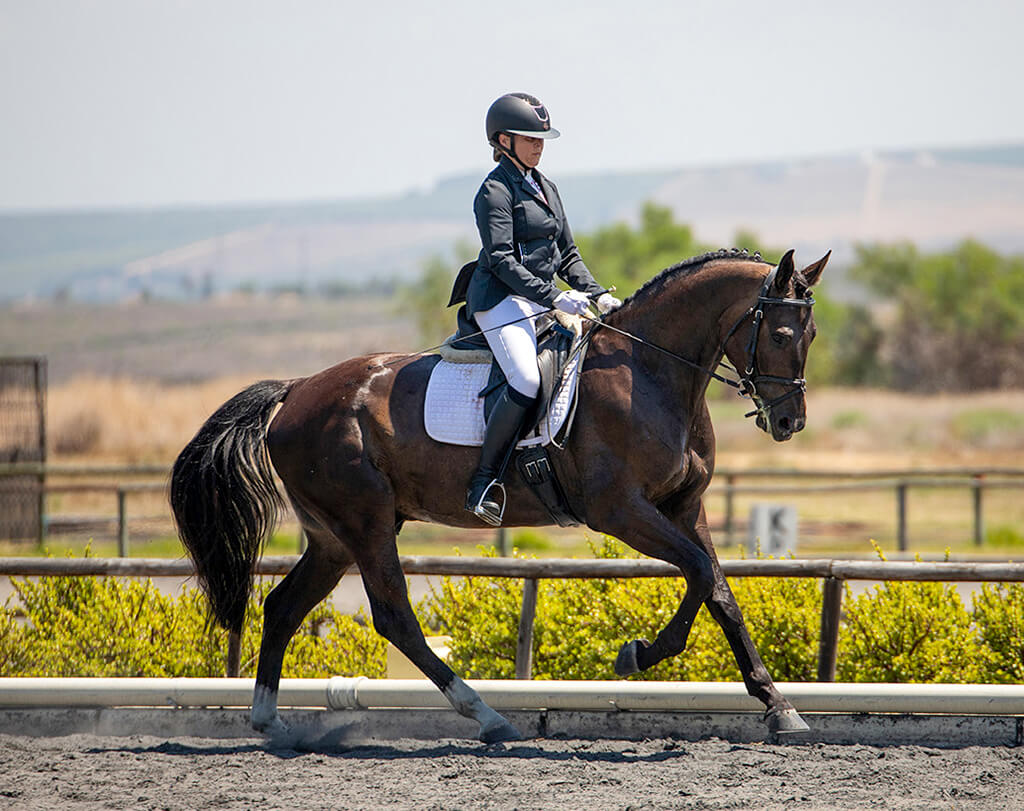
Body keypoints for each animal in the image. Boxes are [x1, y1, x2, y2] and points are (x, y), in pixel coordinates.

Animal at [170, 247, 829, 743]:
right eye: (781, 332)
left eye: (813, 333)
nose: (789, 422)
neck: (649, 369)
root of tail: (297, 389)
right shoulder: (620, 511)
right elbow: (695, 571)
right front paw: (638, 654)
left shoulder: (684, 508)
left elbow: (718, 590)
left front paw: (780, 708)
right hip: (365, 522)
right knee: (393, 616)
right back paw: (487, 716)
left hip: (333, 536)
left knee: (283, 606)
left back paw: (269, 722)